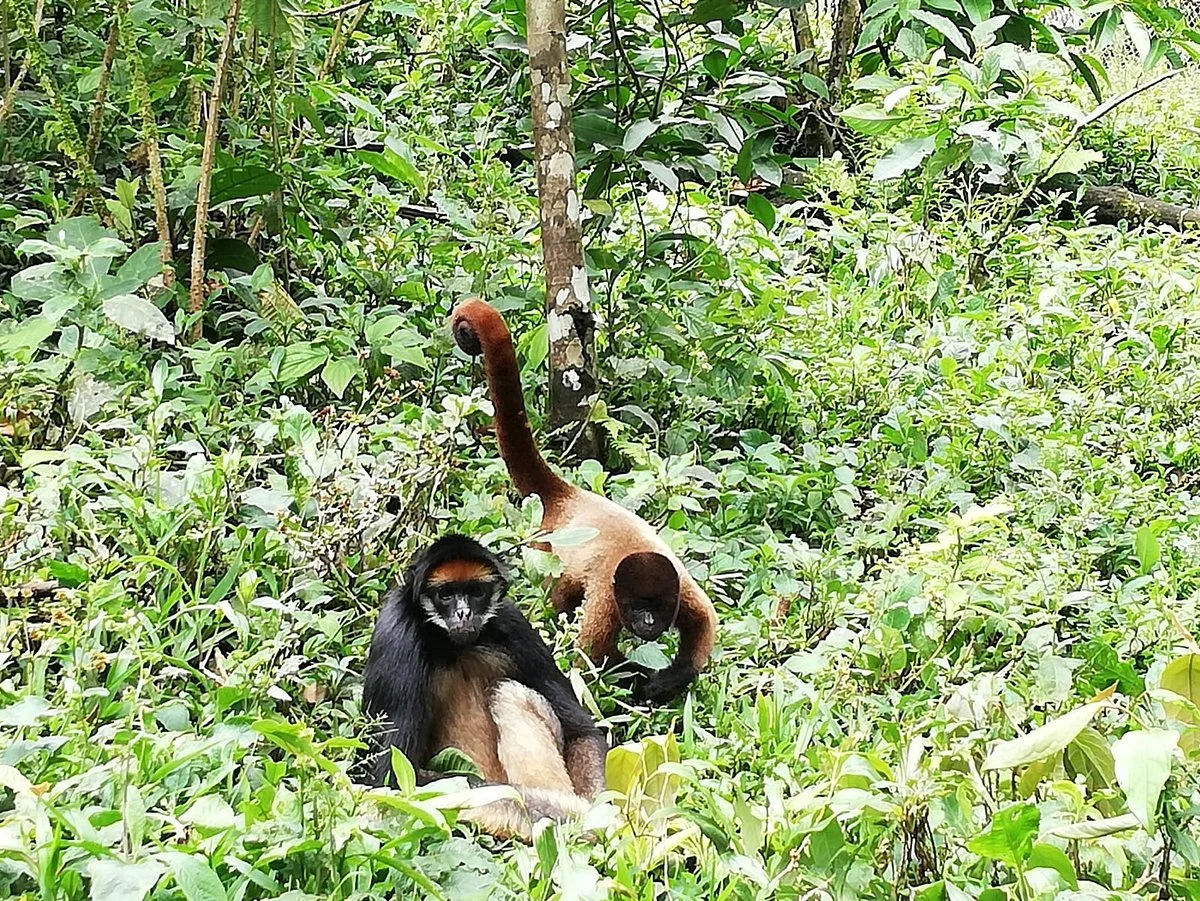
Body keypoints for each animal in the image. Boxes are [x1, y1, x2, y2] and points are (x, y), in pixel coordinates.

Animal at [361, 534, 608, 841]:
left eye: (476, 592)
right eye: (446, 594)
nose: (464, 613)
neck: (452, 647)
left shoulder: (512, 623)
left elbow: (581, 733)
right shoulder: (396, 635)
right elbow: (391, 781)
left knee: (508, 691)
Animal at [449, 298, 719, 703]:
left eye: (657, 607)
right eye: (637, 607)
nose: (648, 623)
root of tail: (565, 495)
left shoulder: (680, 584)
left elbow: (704, 620)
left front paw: (672, 679)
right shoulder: (608, 602)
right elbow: (591, 659)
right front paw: (638, 680)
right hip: (544, 550)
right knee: (560, 599)